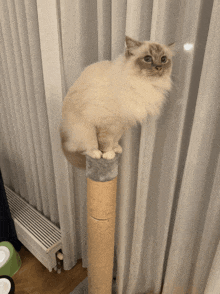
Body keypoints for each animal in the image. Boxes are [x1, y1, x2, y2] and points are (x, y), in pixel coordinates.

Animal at [60, 36, 175, 169]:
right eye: (147, 58)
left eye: (163, 59)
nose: (159, 67)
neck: (144, 84)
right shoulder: (108, 123)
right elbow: (106, 142)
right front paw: (108, 154)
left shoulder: (122, 125)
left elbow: (115, 140)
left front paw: (115, 149)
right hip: (84, 129)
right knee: (85, 147)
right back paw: (96, 153)